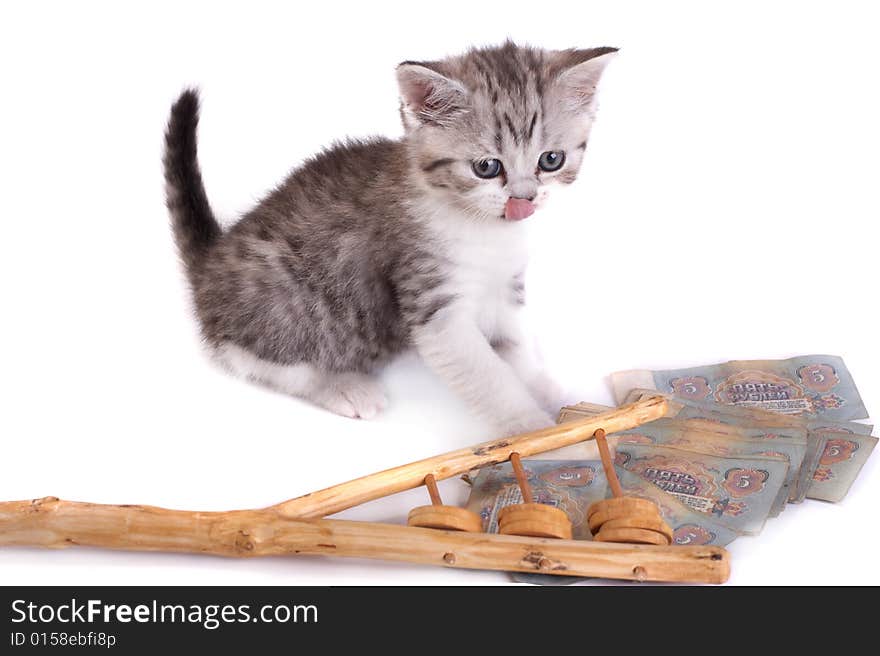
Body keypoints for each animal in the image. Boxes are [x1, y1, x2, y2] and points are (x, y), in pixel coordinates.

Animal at [167, 43, 620, 438]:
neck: (481, 226)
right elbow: (489, 376)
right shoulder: (433, 305)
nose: (524, 199)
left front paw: (552, 393)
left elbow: (518, 348)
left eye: (551, 160)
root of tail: (212, 262)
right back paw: (342, 385)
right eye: (487, 167)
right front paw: (534, 431)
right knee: (246, 354)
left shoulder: (505, 288)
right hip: (292, 300)